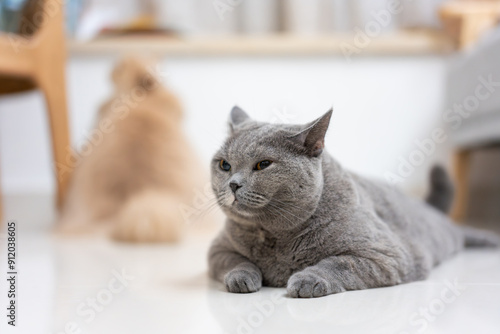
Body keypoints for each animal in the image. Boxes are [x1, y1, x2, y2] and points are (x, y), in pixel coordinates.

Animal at [208, 107, 500, 298]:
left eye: (263, 165)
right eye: (224, 165)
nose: (233, 184)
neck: (273, 235)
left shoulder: (386, 254)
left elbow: (339, 262)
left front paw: (307, 279)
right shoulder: (217, 249)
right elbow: (236, 261)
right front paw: (241, 278)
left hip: (444, 234)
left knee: (463, 232)